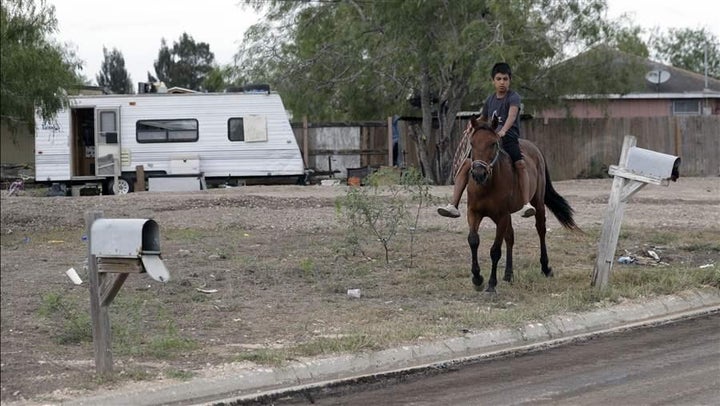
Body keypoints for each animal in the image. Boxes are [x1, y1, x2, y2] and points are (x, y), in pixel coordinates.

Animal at [466, 117, 580, 292]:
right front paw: (477, 279)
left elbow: (495, 250)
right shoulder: (474, 212)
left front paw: (491, 284)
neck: (487, 185)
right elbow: (473, 240)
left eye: (493, 143)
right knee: (510, 237)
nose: (479, 174)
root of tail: (535, 149)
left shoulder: (501, 216)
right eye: (472, 143)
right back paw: (508, 274)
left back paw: (545, 268)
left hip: (538, 203)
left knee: (541, 230)